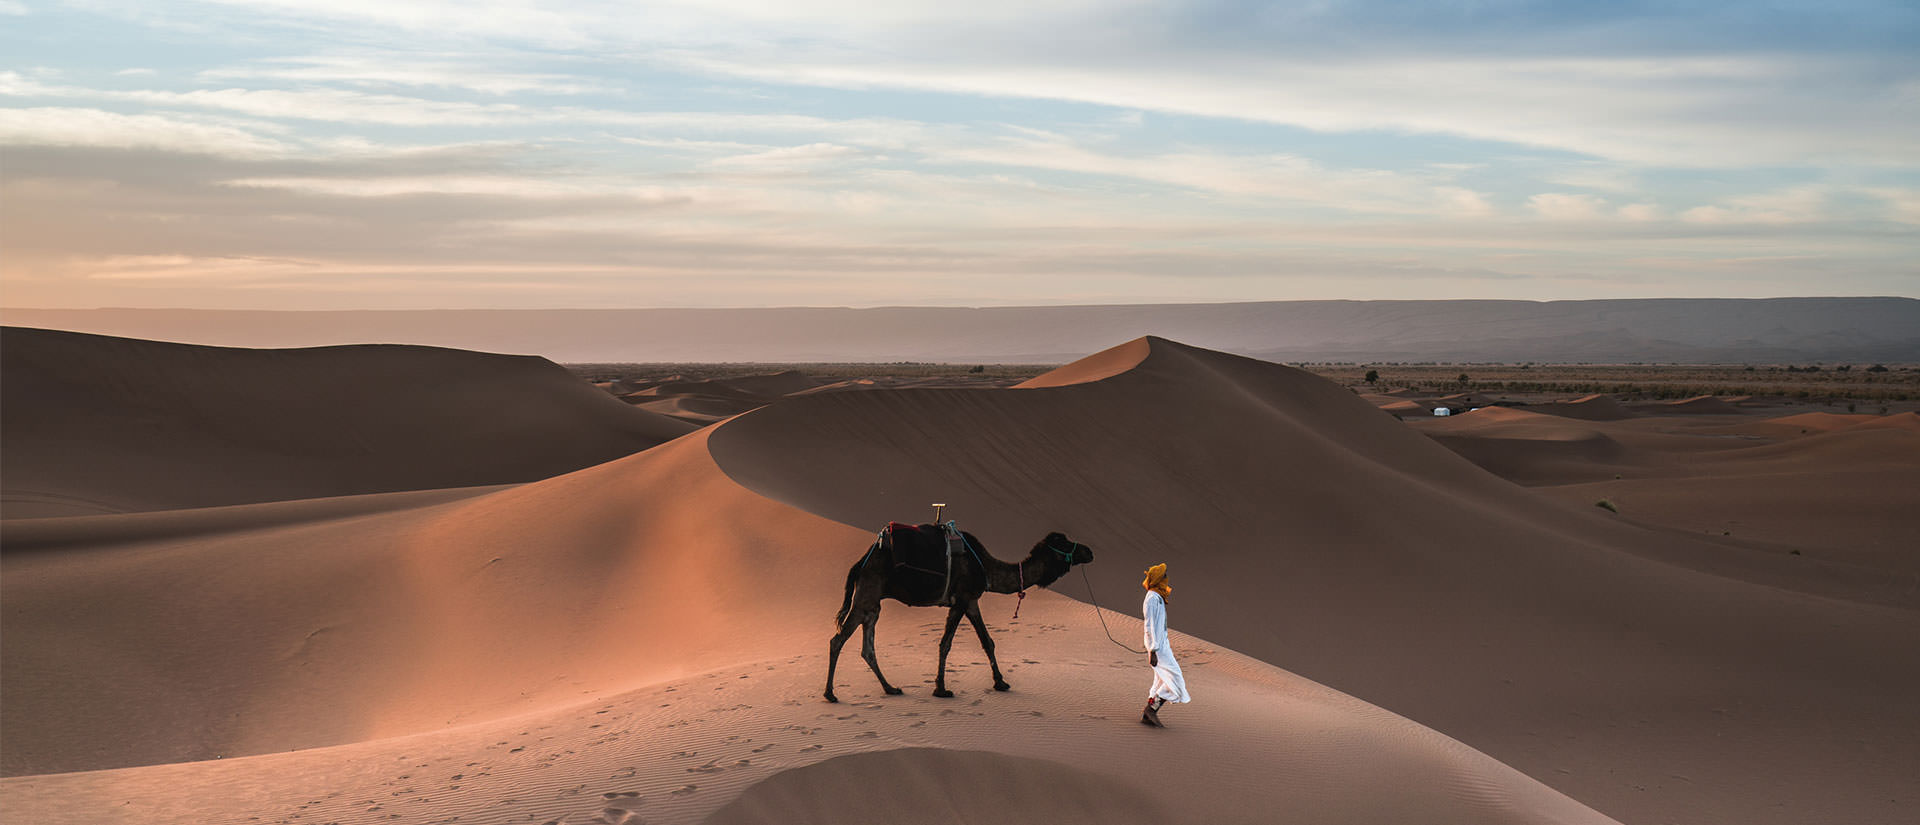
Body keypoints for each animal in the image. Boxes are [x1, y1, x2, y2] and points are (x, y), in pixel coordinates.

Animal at [825, 521, 1098, 702]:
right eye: (1063, 543)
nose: (1089, 551)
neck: (985, 567)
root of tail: (860, 562)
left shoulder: (972, 601)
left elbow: (987, 641)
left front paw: (1001, 682)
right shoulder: (962, 599)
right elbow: (945, 644)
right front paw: (941, 689)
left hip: (873, 604)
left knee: (867, 648)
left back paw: (890, 688)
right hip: (867, 594)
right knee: (837, 640)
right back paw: (830, 694)